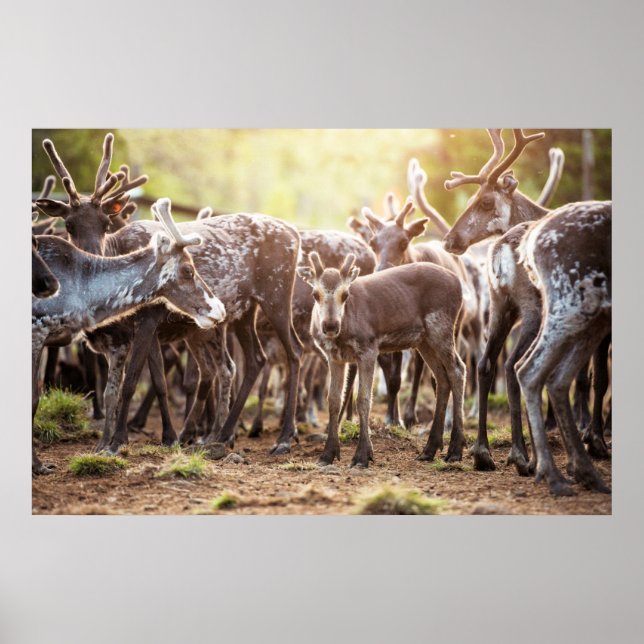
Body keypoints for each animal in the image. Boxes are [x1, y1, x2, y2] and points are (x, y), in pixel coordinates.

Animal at [32, 199, 226, 474]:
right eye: (189, 270)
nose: (220, 308)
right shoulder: (38, 330)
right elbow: (34, 398)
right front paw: (38, 464)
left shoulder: (119, 344)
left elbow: (114, 389)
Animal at [298, 252, 465, 467]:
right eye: (315, 294)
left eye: (345, 294)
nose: (330, 326)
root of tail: (458, 283)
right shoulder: (334, 357)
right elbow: (334, 400)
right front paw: (328, 454)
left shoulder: (368, 348)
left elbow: (363, 399)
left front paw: (362, 455)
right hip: (424, 340)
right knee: (442, 377)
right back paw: (430, 449)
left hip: (441, 326)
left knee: (458, 370)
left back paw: (455, 449)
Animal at [442, 129, 611, 492]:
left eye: (485, 201)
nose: (449, 240)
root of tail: (500, 250)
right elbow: (595, 378)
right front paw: (594, 440)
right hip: (536, 310)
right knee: (516, 365)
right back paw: (525, 457)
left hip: (502, 306)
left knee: (489, 363)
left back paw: (484, 453)